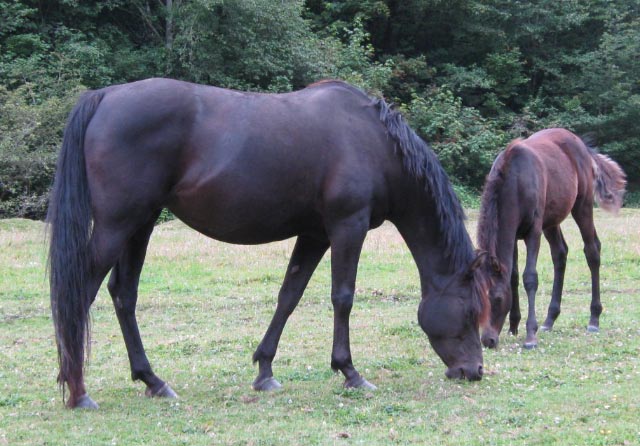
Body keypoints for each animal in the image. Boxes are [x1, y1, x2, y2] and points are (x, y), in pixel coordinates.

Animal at [47, 78, 491, 409]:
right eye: (470, 311)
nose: (474, 371)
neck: (374, 142)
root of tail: (105, 97)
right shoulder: (348, 226)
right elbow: (343, 297)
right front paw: (350, 372)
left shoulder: (314, 234)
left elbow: (289, 295)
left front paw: (265, 371)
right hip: (117, 225)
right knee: (81, 293)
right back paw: (79, 391)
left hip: (139, 226)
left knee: (123, 295)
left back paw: (152, 380)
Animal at [476, 128, 626, 349]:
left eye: (497, 298)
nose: (488, 340)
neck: (516, 181)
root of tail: (581, 145)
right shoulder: (513, 235)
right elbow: (513, 276)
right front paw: (514, 325)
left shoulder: (533, 232)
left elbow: (529, 277)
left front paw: (530, 335)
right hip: (552, 221)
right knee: (560, 253)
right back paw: (550, 319)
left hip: (582, 206)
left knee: (592, 250)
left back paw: (594, 319)